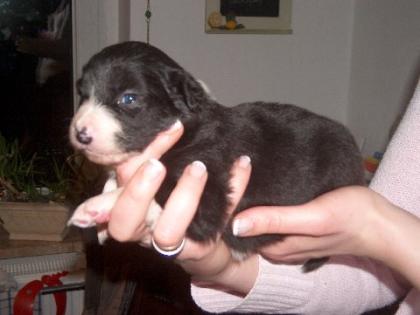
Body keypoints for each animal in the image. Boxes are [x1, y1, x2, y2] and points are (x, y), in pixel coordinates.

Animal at [68, 40, 364, 270]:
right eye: (82, 94)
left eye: (128, 99)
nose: (80, 134)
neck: (187, 128)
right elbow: (114, 180)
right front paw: (102, 223)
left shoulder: (207, 195)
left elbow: (157, 196)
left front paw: (93, 209)